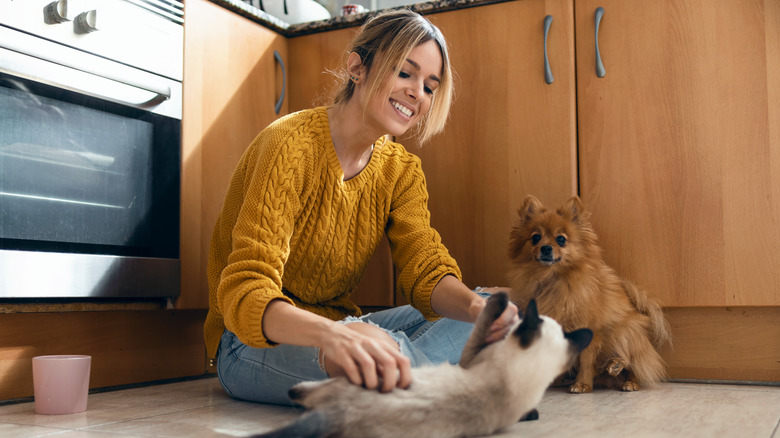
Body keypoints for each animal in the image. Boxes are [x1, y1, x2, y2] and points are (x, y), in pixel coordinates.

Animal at [254, 294, 592, 438]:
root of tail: (337, 414)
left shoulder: (471, 357)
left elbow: (484, 320)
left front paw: (499, 301)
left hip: (330, 384)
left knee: (296, 392)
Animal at [506, 195, 672, 394]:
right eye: (535, 238)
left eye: (561, 239)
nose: (545, 248)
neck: (552, 280)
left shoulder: (588, 330)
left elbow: (586, 362)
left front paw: (583, 385)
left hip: (623, 332)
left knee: (634, 364)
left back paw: (625, 375)